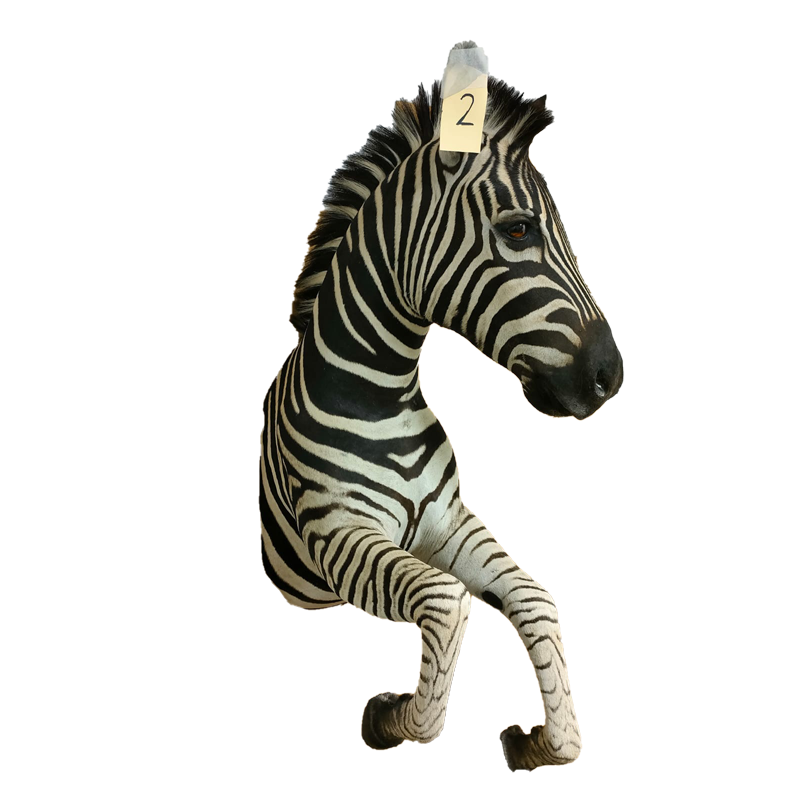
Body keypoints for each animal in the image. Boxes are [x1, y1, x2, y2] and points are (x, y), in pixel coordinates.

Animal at [259, 71, 624, 773]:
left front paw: (540, 741)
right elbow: (448, 601)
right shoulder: (336, 532)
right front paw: (391, 717)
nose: (610, 376)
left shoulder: (446, 523)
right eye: (518, 230)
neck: (379, 391)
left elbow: (534, 600)